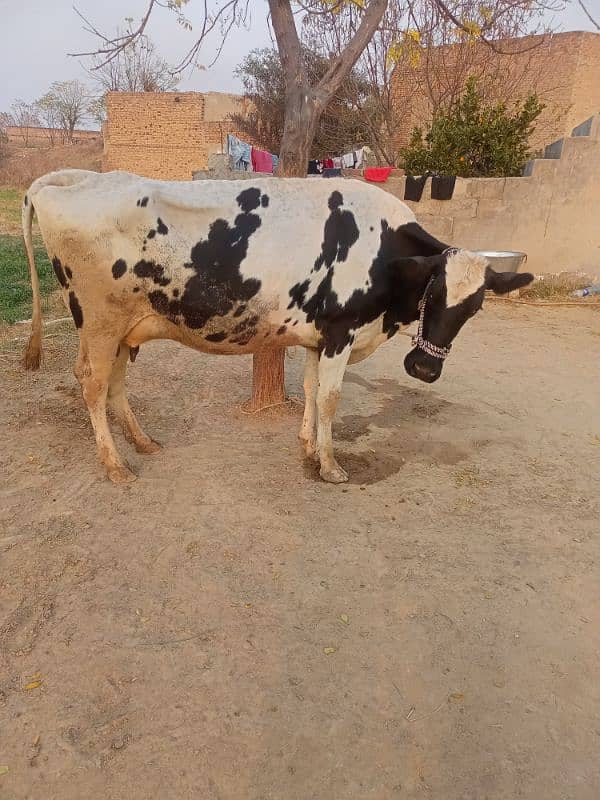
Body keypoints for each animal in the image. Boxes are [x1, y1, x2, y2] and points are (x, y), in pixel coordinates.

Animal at [21, 169, 532, 482]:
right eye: (433, 292)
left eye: (476, 308)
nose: (425, 370)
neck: (385, 250)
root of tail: (79, 177)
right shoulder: (342, 329)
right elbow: (330, 398)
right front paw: (330, 465)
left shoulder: (318, 336)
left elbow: (308, 389)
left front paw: (307, 446)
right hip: (100, 320)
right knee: (92, 383)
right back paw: (114, 465)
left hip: (124, 325)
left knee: (113, 382)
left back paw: (142, 442)